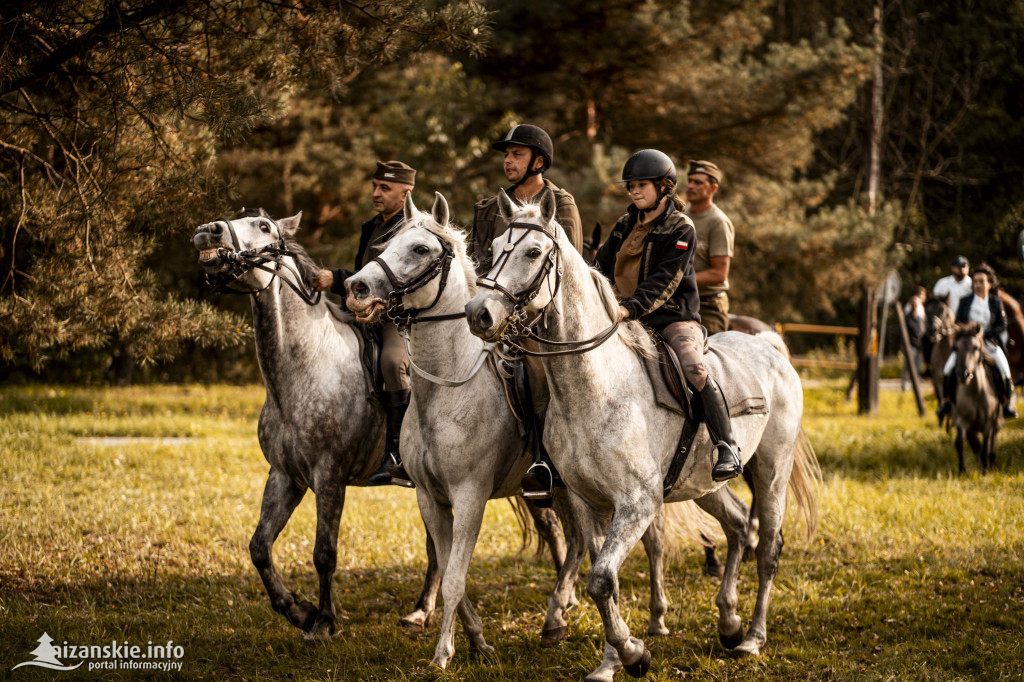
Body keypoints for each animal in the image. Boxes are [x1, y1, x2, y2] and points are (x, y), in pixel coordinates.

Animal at [468, 191, 819, 679]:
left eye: (533, 252)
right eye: (496, 245)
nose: (477, 313)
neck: (596, 387)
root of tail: (770, 347)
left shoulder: (637, 503)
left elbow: (600, 579)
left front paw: (634, 654)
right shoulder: (589, 501)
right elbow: (604, 582)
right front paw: (612, 660)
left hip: (771, 472)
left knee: (767, 547)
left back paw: (752, 637)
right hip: (702, 483)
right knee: (735, 524)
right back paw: (728, 622)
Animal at [946, 323, 1003, 473]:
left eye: (976, 347)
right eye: (955, 348)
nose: (963, 374)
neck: (976, 393)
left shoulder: (988, 423)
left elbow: (985, 445)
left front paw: (984, 471)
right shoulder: (960, 420)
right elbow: (960, 443)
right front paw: (961, 470)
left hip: (996, 419)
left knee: (992, 440)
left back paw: (992, 461)